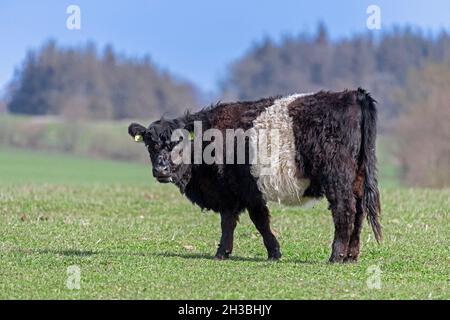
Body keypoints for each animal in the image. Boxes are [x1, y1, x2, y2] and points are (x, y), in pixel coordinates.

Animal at [128, 87, 382, 262]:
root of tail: (353, 94)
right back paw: (351, 256)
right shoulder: (235, 192)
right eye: (150, 145)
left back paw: (336, 256)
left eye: (177, 142)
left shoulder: (241, 190)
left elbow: (253, 221)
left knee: (345, 211)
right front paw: (228, 252)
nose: (161, 170)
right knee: (359, 212)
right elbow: (235, 221)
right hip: (357, 178)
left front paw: (267, 252)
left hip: (337, 178)